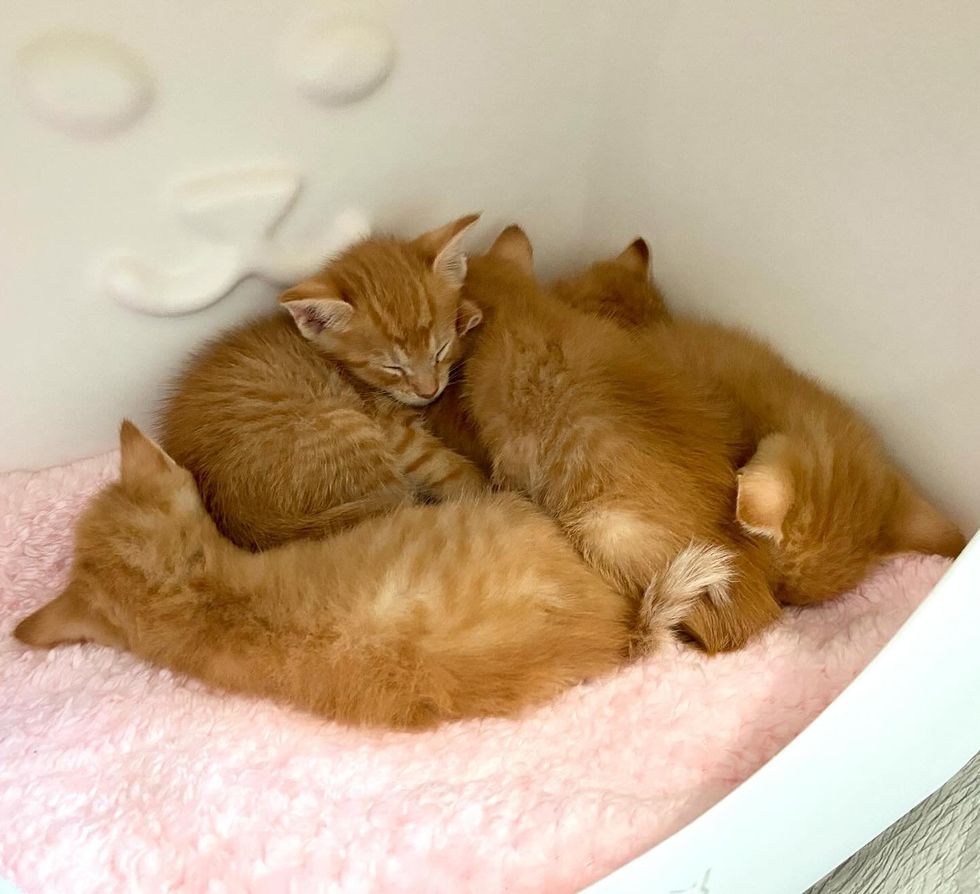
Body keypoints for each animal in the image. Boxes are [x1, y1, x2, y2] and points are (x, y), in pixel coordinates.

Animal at [160, 217, 490, 552]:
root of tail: (245, 526)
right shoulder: (395, 432)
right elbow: (442, 466)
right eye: (392, 367)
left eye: (440, 350)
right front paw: (481, 488)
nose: (429, 391)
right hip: (347, 428)